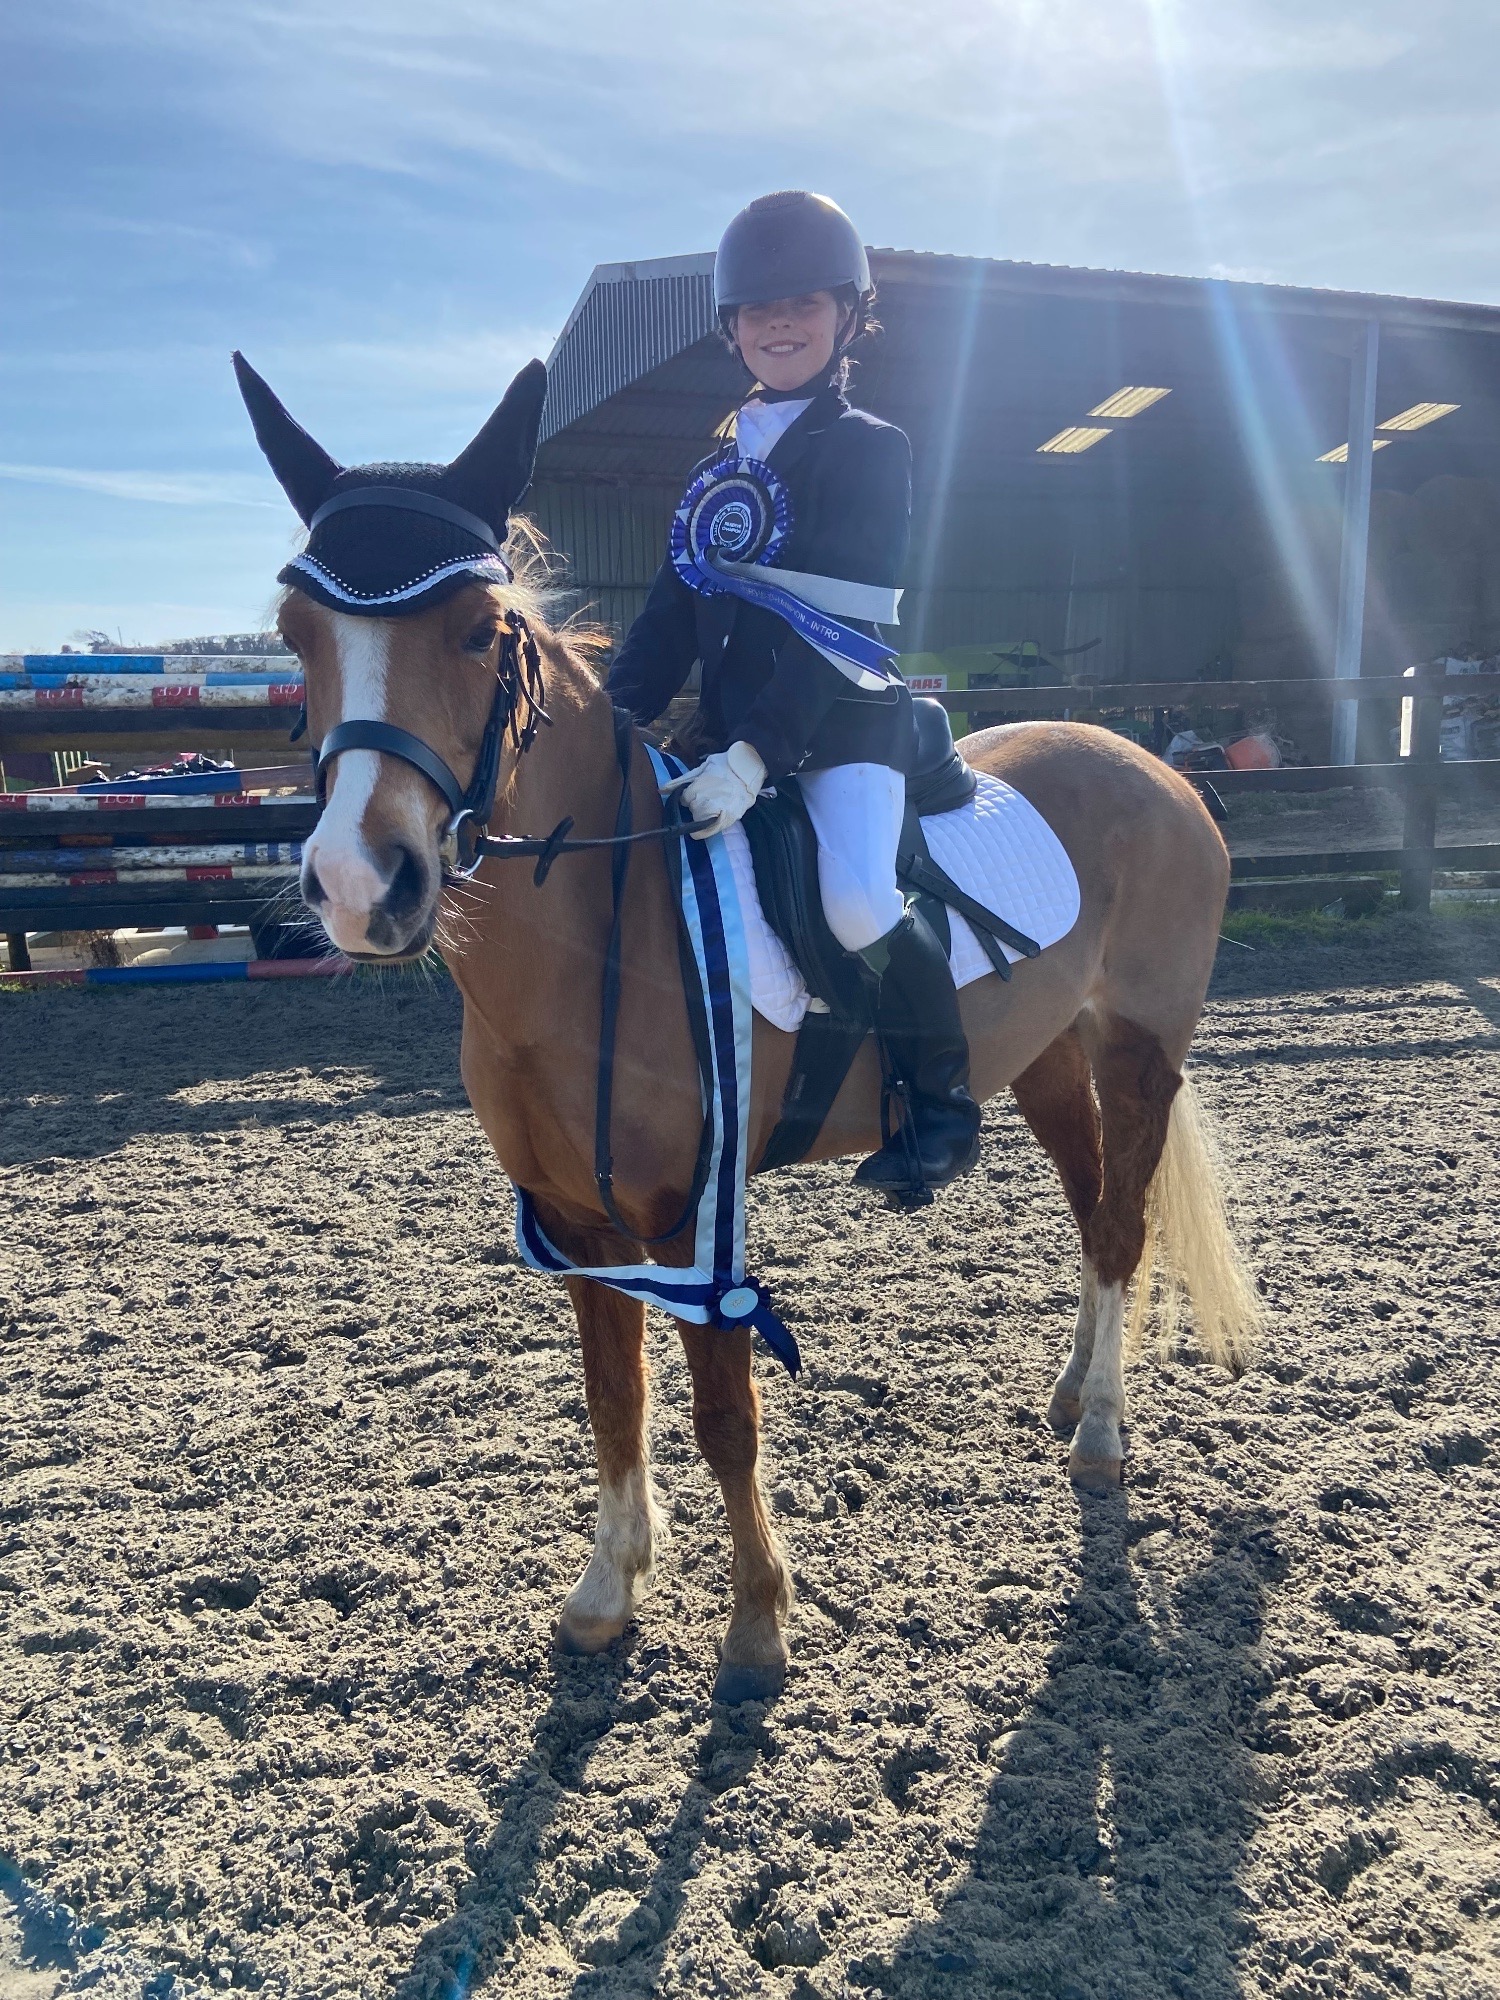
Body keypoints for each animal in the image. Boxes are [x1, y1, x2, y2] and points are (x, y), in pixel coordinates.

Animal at [258, 363, 1261, 1704]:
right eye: (296, 636)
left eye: (477, 630)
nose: (361, 886)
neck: (599, 923)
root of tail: (1150, 763)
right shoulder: (577, 1218)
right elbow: (612, 1399)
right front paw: (606, 1592)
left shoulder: (693, 1212)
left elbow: (722, 1414)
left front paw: (755, 1627)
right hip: (1048, 1054)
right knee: (1097, 1202)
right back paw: (1066, 1389)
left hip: (1139, 1048)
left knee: (1120, 1221)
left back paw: (1100, 1429)